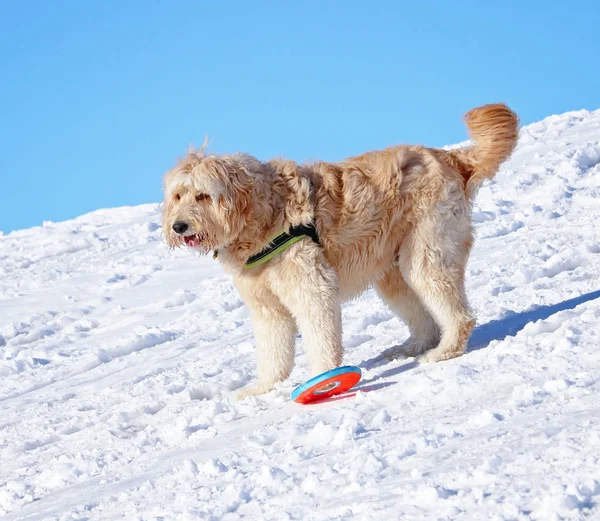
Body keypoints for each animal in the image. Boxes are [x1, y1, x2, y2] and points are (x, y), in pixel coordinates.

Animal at [162, 104, 516, 398]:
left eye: (203, 196)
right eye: (178, 196)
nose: (178, 226)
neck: (261, 217)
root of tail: (451, 158)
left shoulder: (312, 287)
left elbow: (320, 338)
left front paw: (324, 379)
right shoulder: (267, 307)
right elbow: (273, 351)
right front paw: (263, 388)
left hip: (425, 255)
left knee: (458, 315)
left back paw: (445, 351)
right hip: (393, 273)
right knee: (424, 320)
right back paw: (409, 349)